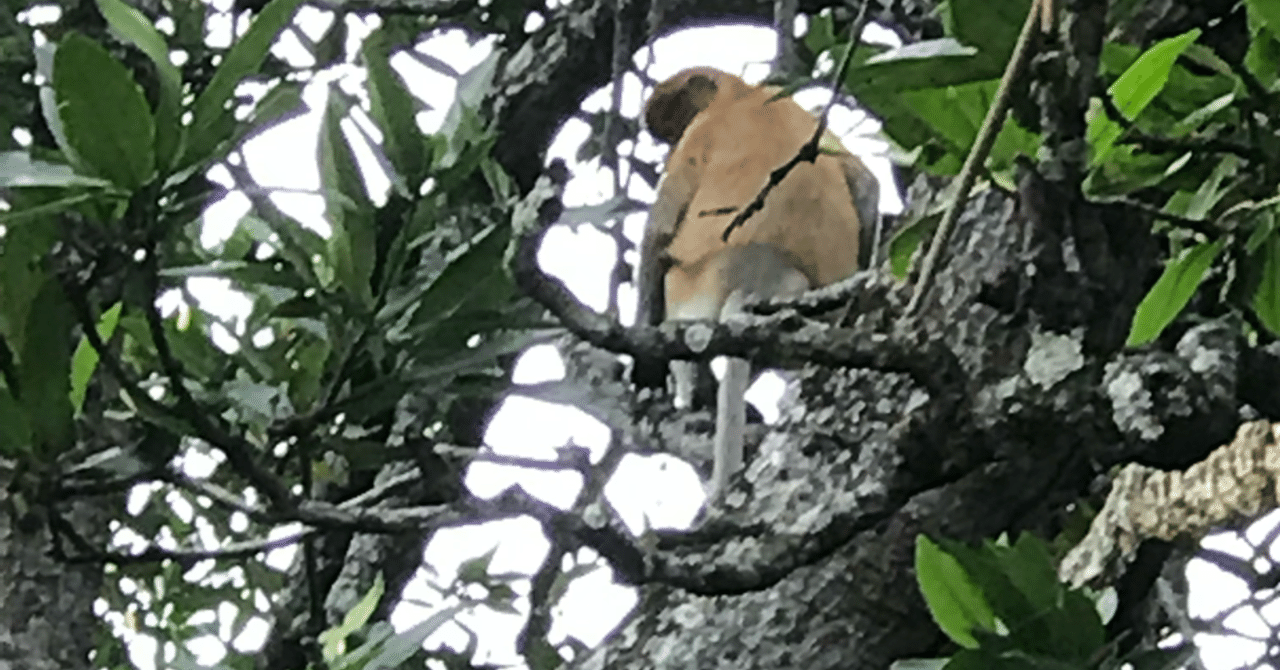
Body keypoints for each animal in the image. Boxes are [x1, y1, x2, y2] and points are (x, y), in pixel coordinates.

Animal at [635, 66, 880, 501]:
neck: (744, 95)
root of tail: (765, 279)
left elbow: (657, 236)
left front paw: (644, 374)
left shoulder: (699, 135)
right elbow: (864, 181)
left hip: (693, 287)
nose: (662, 145)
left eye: (677, 118)